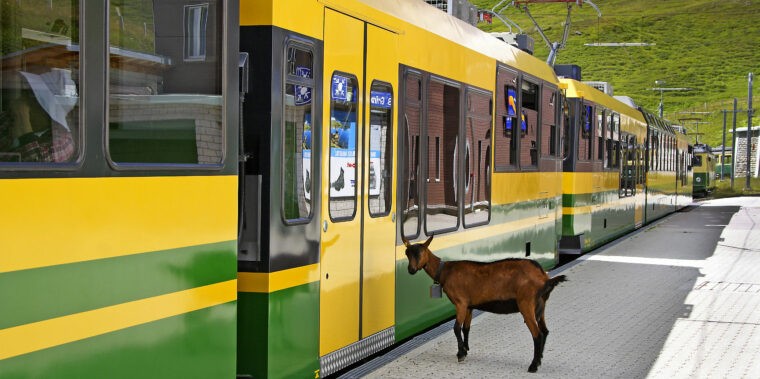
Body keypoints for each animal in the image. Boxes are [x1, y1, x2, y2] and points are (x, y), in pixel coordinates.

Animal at [404, 236, 564, 372]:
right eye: (407, 253)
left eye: (420, 252)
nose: (411, 270)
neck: (444, 271)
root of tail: (544, 278)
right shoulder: (469, 305)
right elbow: (466, 328)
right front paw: (465, 349)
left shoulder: (460, 303)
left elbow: (456, 328)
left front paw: (460, 354)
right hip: (541, 305)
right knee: (545, 331)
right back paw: (539, 360)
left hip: (526, 304)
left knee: (537, 334)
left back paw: (533, 366)